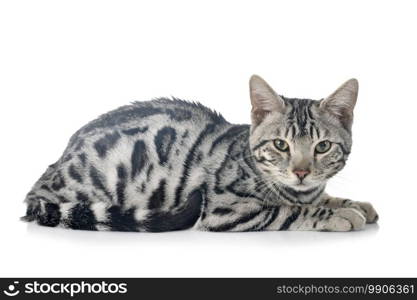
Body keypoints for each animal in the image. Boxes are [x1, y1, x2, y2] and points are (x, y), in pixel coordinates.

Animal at [22, 75, 376, 232]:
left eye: (322, 146)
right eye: (280, 145)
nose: (301, 172)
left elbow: (322, 197)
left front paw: (355, 204)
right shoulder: (227, 209)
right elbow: (289, 210)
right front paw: (339, 214)